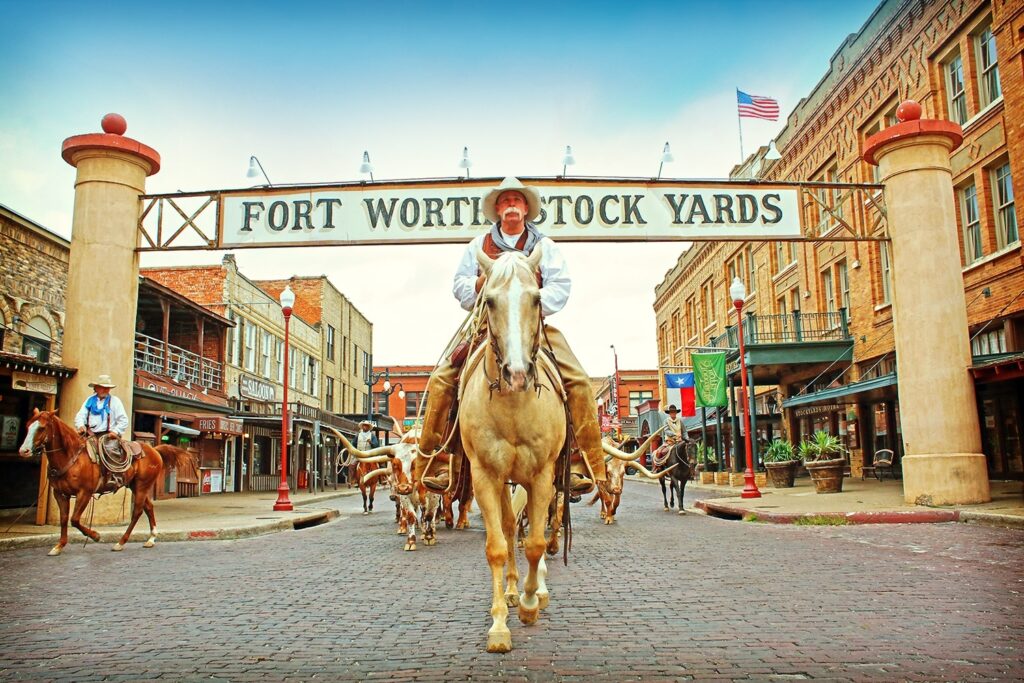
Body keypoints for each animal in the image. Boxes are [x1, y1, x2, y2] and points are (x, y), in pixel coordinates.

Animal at [17, 411, 192, 557]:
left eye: (41, 427)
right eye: (28, 425)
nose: (23, 451)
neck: (71, 457)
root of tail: (154, 450)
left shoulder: (85, 492)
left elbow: (74, 519)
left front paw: (95, 536)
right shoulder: (60, 494)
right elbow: (64, 518)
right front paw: (59, 546)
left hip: (142, 486)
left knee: (137, 512)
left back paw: (120, 542)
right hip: (135, 486)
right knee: (148, 507)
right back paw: (150, 539)